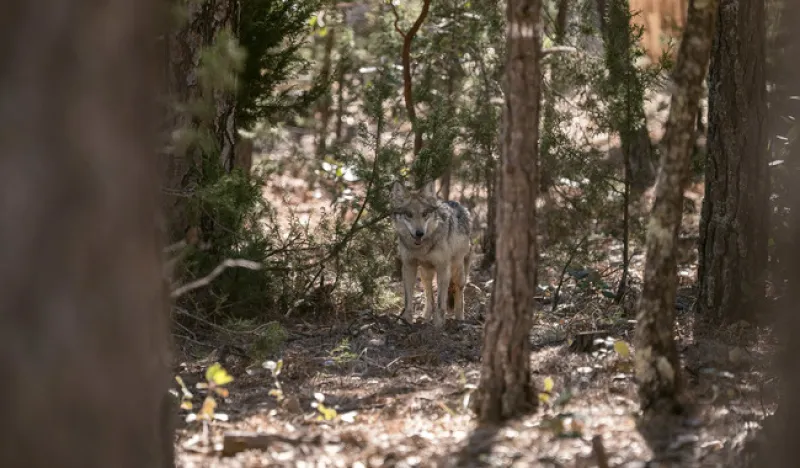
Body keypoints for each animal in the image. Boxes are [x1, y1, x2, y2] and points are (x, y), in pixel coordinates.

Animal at [389, 181, 472, 328]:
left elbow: (441, 303)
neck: (421, 248)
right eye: (409, 214)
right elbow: (408, 300)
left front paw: (438, 326)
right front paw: (406, 321)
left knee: (459, 291)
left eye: (425, 213)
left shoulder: (443, 268)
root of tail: (459, 205)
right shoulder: (408, 266)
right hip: (425, 274)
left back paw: (459, 319)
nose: (419, 233)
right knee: (429, 296)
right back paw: (426, 317)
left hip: (457, 271)